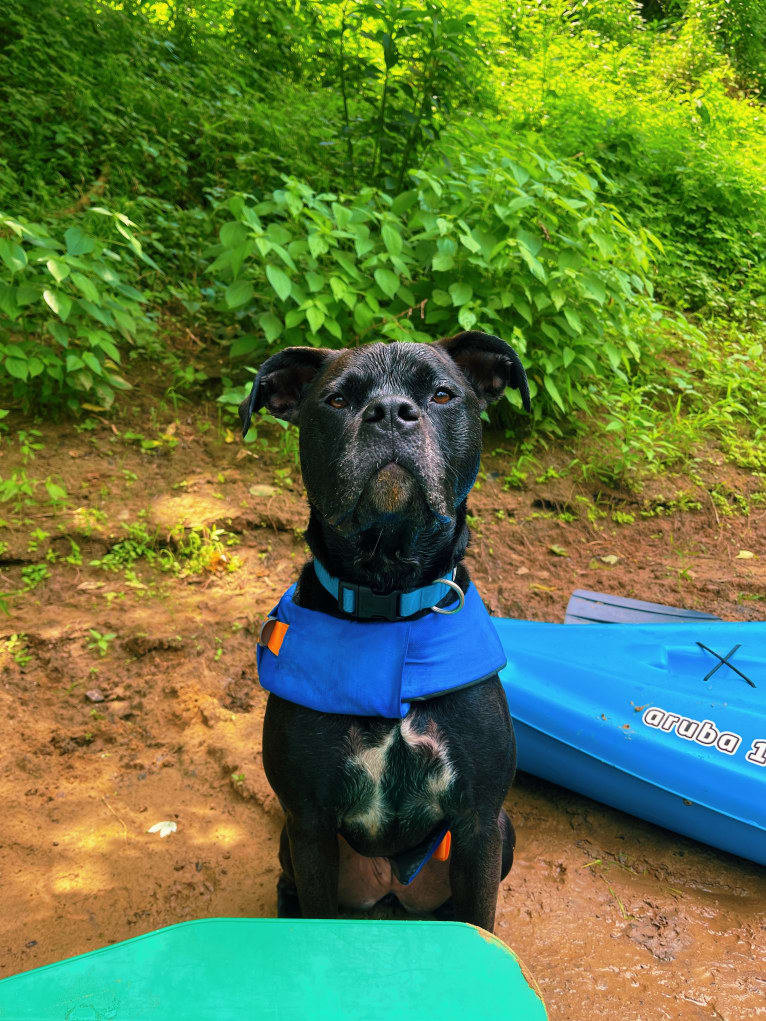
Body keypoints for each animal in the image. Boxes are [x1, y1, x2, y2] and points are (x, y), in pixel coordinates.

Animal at [243, 330, 531, 931]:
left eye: (442, 394)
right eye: (335, 400)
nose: (391, 413)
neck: (388, 603)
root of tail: (391, 890)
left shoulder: (478, 822)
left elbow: (479, 924)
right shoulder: (309, 825)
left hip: (504, 831)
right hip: (290, 843)